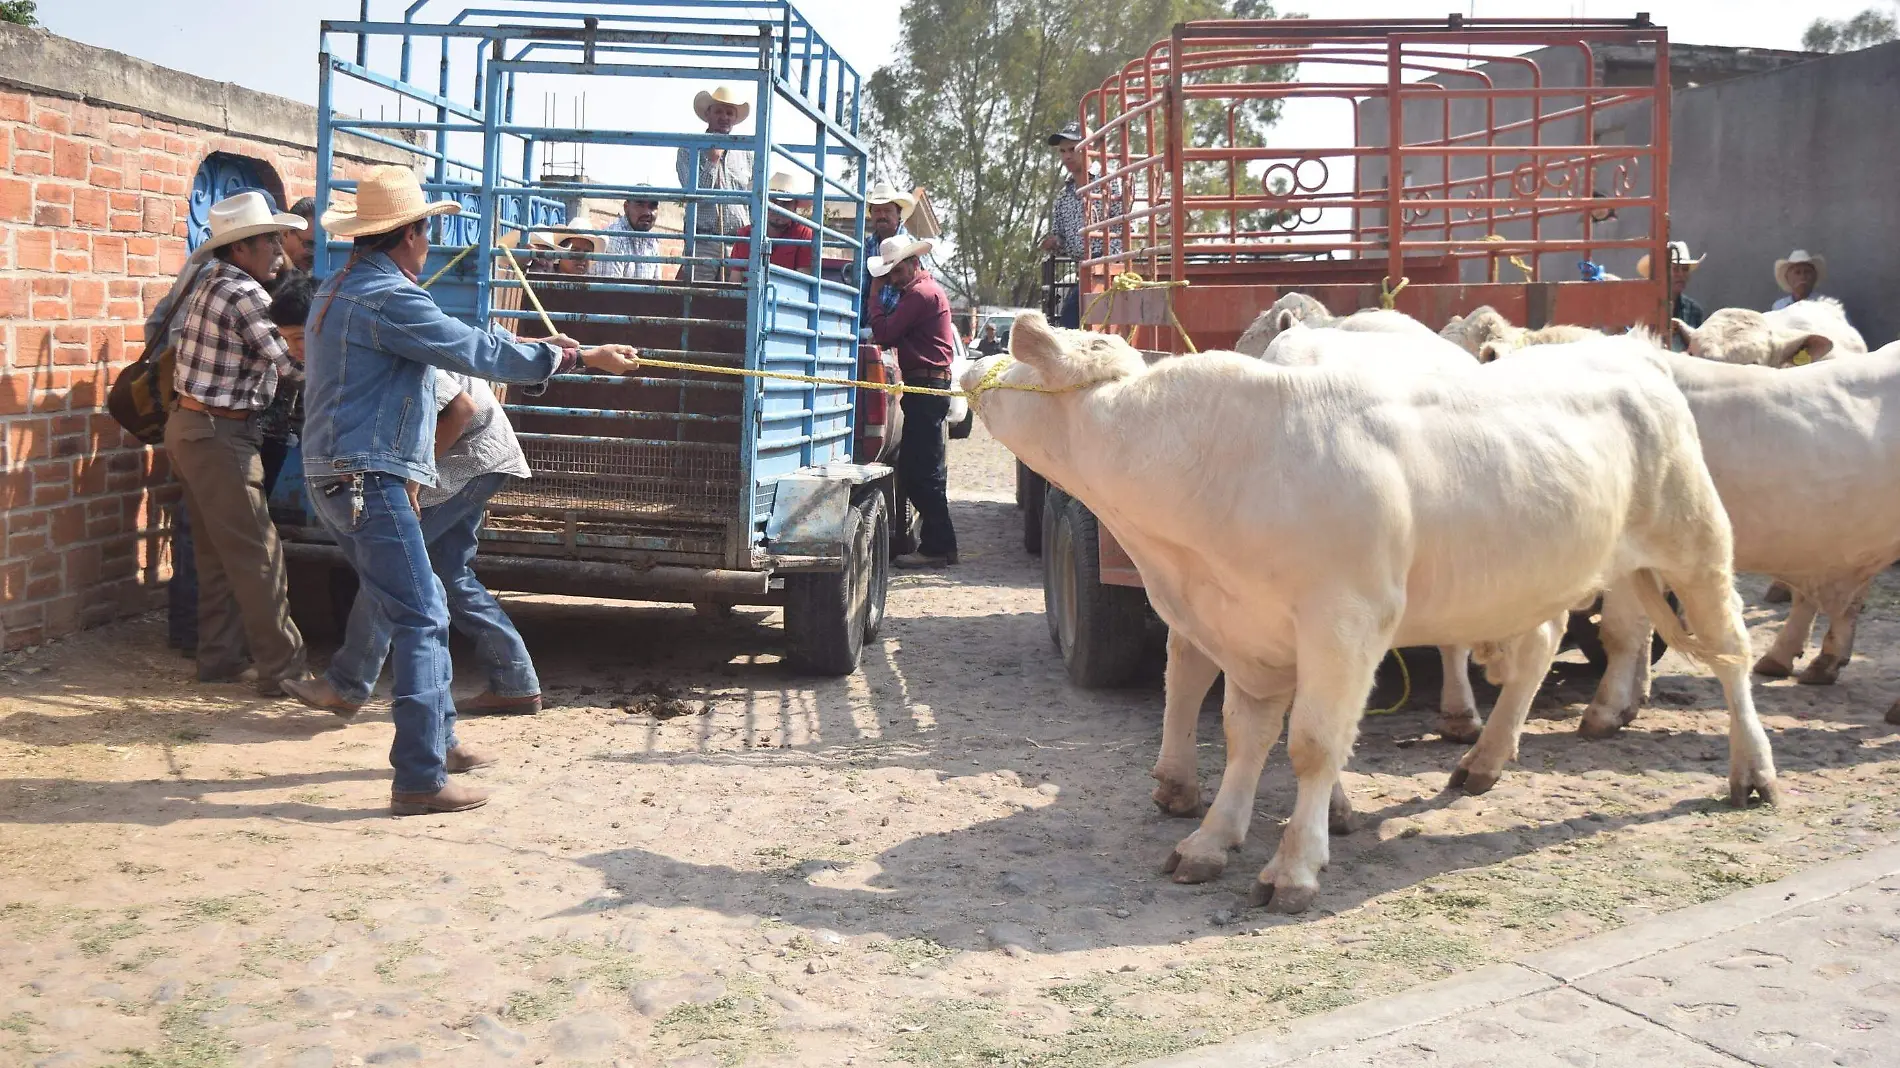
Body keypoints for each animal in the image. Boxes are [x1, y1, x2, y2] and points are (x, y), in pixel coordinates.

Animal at [965, 311, 1778, 912]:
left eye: (1016, 363)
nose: (968, 363)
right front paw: (1211, 839)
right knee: (1545, 645)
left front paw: (1294, 867)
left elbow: (1312, 744)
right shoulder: (1251, 630)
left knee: (1731, 654)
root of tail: (1629, 349)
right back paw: (1484, 761)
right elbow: (1243, 736)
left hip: (1696, 543)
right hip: (1556, 568)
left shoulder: (1344, 621)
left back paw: (1753, 773)